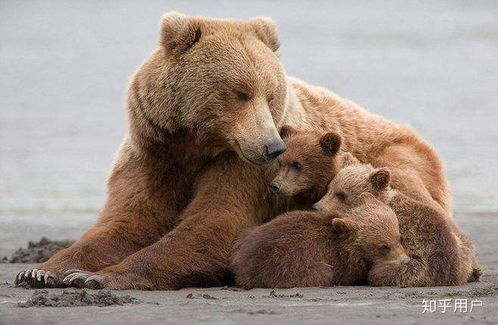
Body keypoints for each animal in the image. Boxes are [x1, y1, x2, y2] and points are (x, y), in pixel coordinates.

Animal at [13, 12, 450, 290]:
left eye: (269, 93)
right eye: (240, 92)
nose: (273, 146)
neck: (195, 146)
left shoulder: (242, 167)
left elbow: (217, 221)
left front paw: (101, 276)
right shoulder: (153, 153)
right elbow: (129, 219)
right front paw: (44, 270)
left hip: (396, 159)